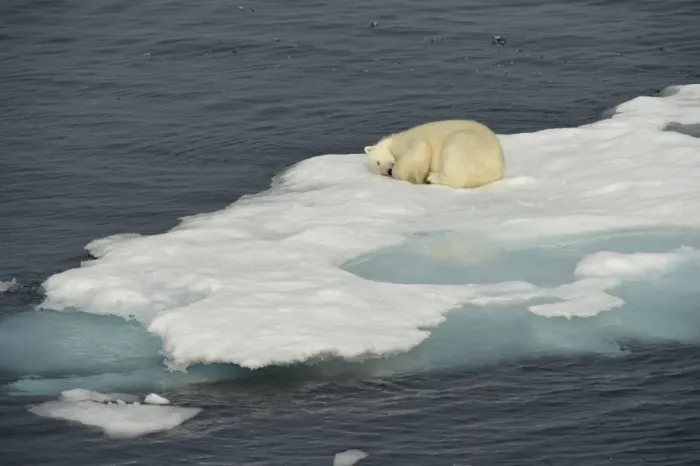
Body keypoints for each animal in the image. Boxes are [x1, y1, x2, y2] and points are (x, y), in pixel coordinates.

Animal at [364, 119, 505, 189]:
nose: (387, 171)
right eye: (379, 170)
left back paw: (432, 177)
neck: (393, 141)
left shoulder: (410, 141)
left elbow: (420, 148)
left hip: (468, 144)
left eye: (378, 162)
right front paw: (417, 177)